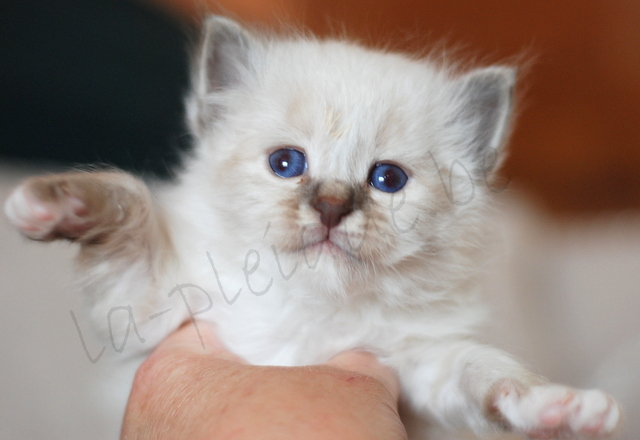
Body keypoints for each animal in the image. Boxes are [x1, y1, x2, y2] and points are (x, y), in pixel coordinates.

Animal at [3, 16, 620, 440]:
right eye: (286, 164)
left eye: (387, 179)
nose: (330, 207)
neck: (311, 319)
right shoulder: (148, 310)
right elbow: (127, 200)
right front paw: (48, 203)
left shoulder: (424, 367)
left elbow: (490, 375)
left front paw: (561, 409)